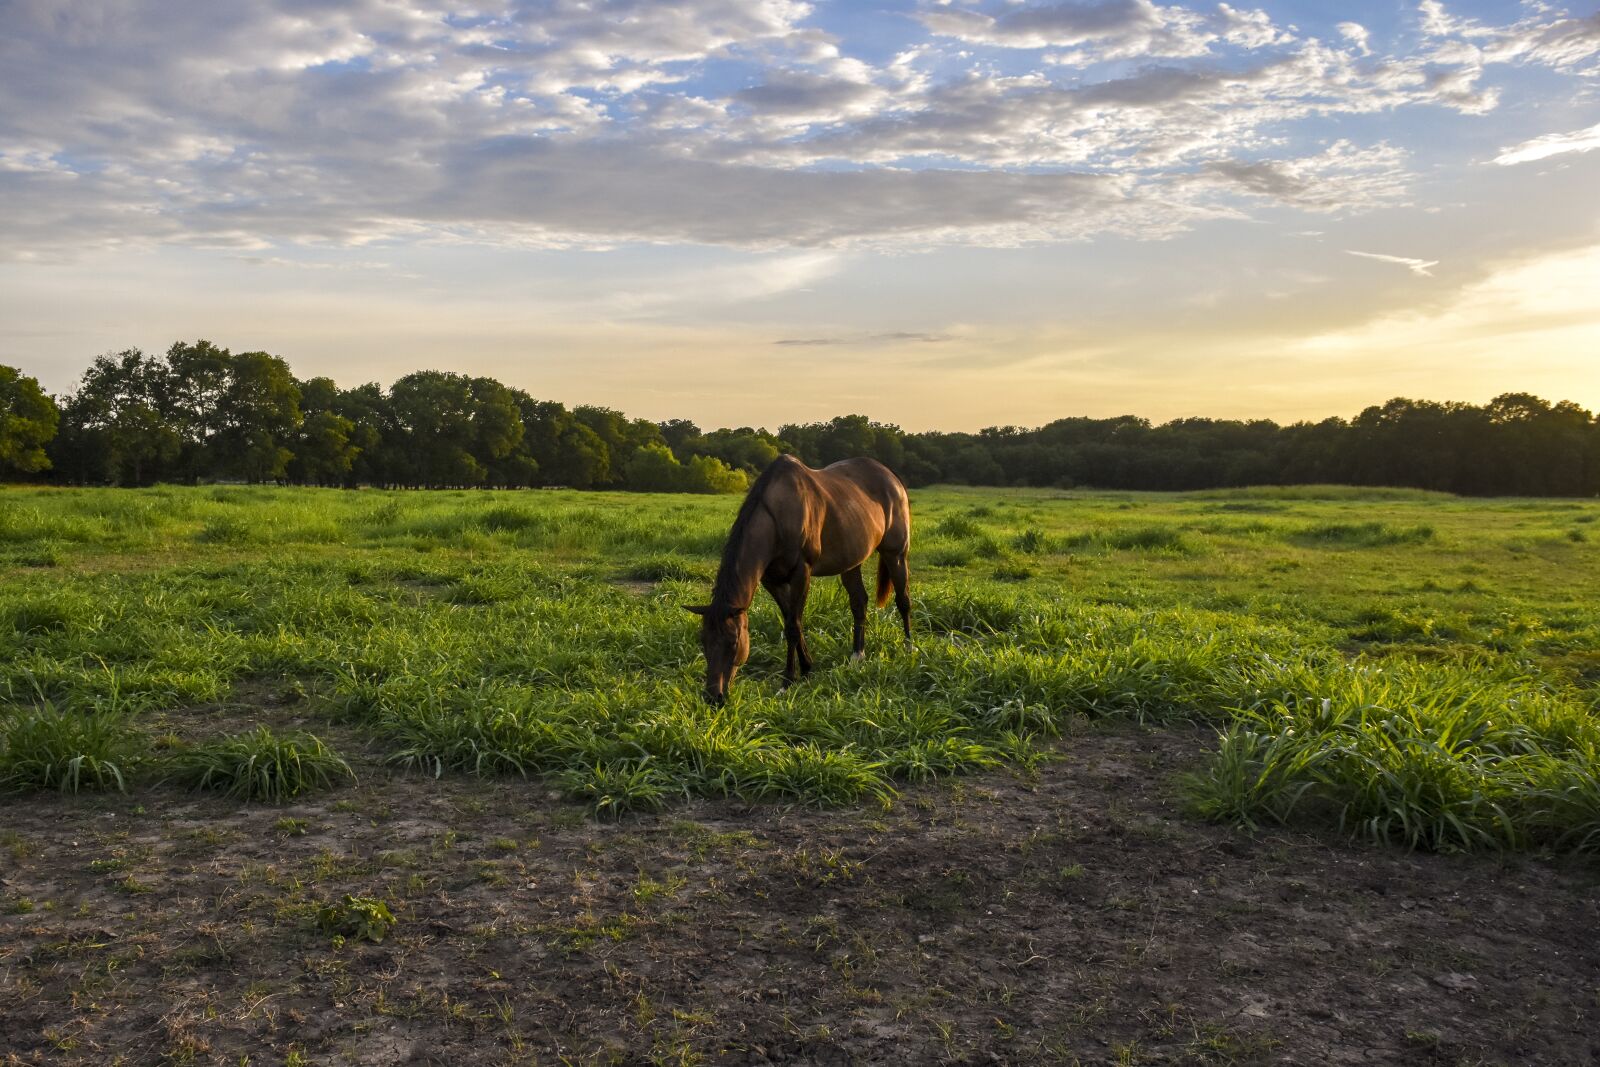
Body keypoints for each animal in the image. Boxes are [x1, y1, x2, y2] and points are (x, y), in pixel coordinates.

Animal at [688, 454, 915, 703]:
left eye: (734, 641)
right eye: (703, 640)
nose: (713, 697)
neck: (776, 517)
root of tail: (891, 476)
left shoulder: (801, 573)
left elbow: (792, 627)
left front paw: (788, 681)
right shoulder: (772, 581)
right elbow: (792, 620)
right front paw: (806, 668)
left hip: (896, 554)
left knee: (903, 600)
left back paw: (908, 648)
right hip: (851, 563)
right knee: (859, 602)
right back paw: (857, 655)